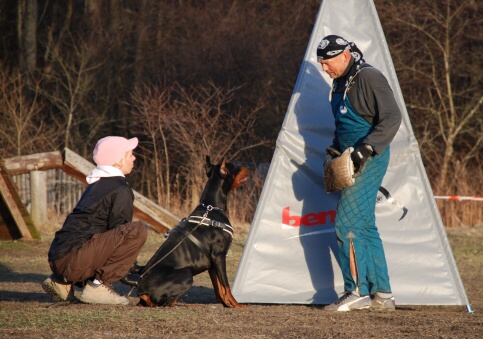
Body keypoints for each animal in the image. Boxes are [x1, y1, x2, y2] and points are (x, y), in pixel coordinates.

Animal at [123, 157, 250, 308]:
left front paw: (225, 304)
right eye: (235, 166)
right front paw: (236, 304)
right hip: (186, 274)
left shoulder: (213, 263)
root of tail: (141, 287)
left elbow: (219, 288)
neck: (211, 208)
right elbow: (226, 286)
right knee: (167, 303)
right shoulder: (219, 256)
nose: (248, 167)